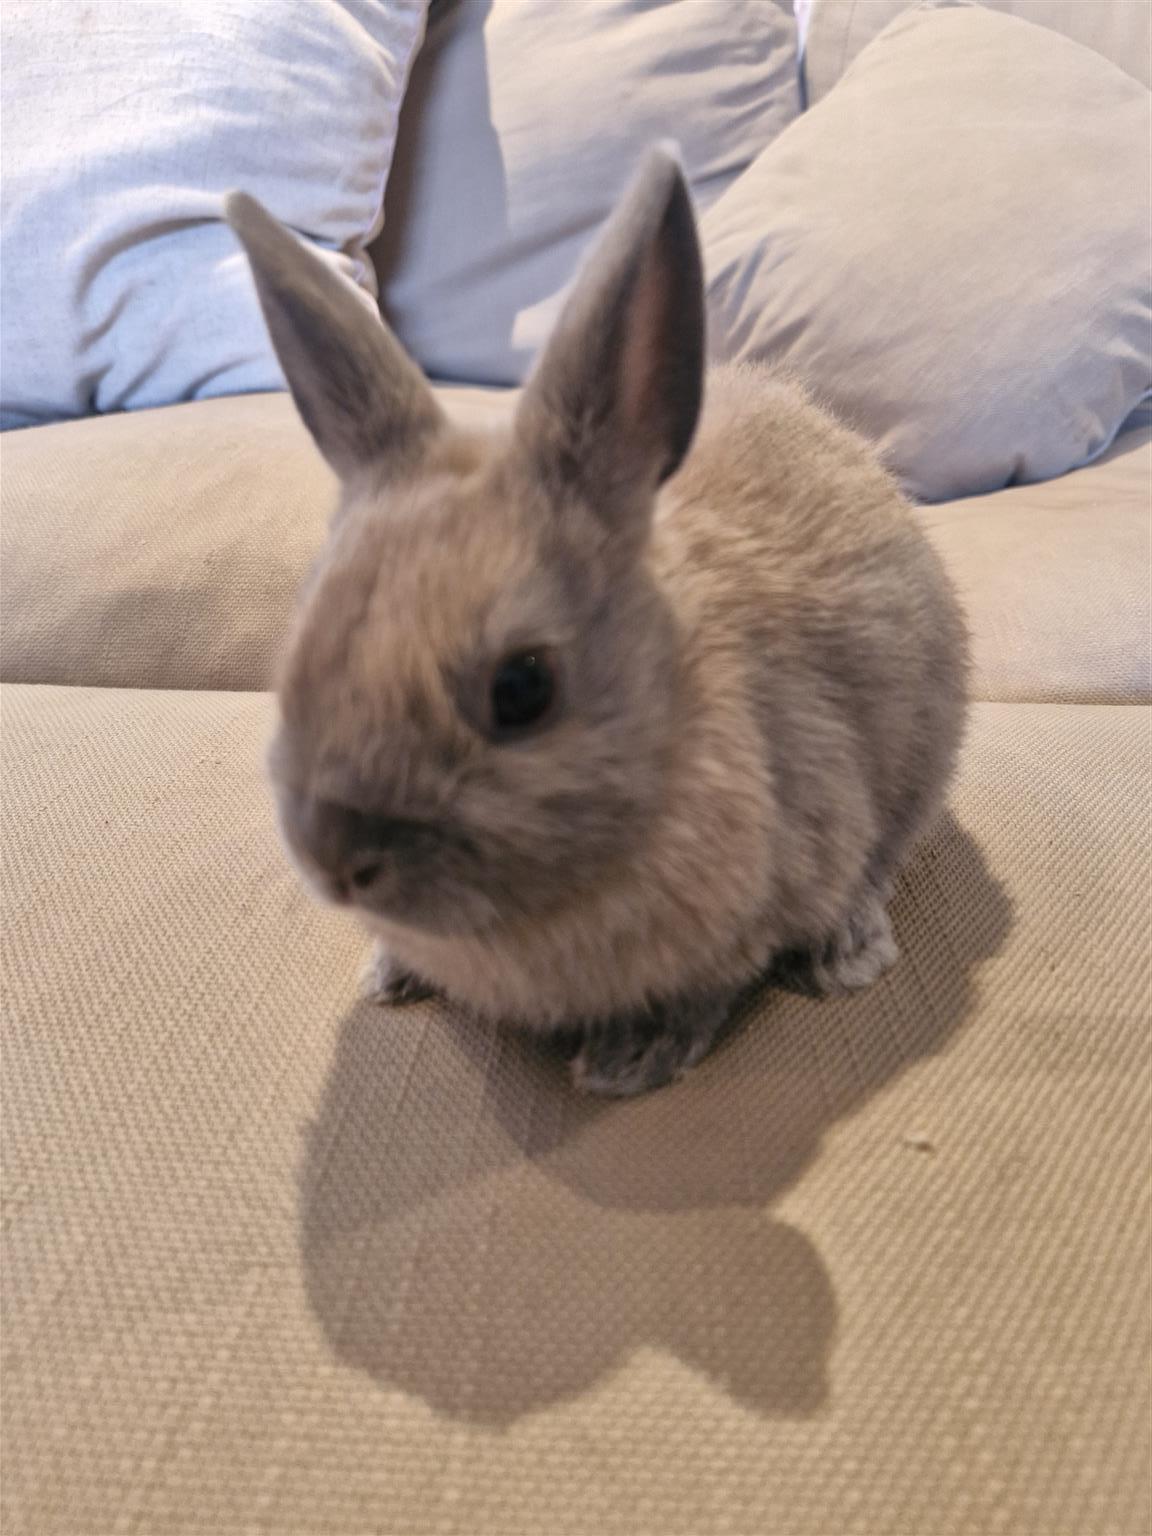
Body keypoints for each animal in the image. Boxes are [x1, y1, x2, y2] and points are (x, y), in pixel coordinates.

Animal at [226, 144, 968, 1098]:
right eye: (304, 641)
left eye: (522, 689)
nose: (336, 862)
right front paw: (389, 974)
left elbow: (709, 987)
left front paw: (627, 1061)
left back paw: (848, 954)